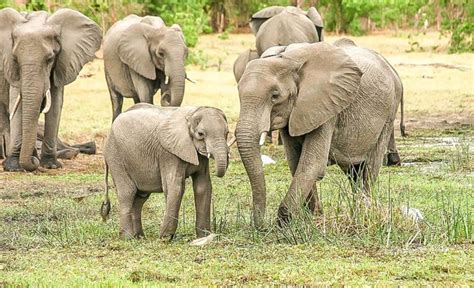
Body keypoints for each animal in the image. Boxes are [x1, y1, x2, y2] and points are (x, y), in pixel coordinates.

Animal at [1, 8, 102, 171]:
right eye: (15, 59)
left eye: (50, 59)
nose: (33, 162)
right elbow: (16, 103)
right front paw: (13, 167)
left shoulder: (62, 62)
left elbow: (55, 104)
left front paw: (50, 165)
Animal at [102, 104, 231, 240]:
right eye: (200, 134)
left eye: (227, 133)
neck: (191, 114)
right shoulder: (169, 154)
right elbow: (176, 187)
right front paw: (165, 238)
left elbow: (203, 187)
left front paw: (203, 236)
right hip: (116, 157)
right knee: (127, 193)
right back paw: (127, 238)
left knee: (139, 198)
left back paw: (139, 237)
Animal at [235, 42, 402, 227]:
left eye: (275, 96)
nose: (261, 226)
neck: (287, 60)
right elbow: (296, 162)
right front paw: (313, 217)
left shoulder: (327, 107)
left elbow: (312, 163)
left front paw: (284, 223)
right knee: (353, 171)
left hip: (389, 111)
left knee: (370, 168)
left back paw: (364, 211)